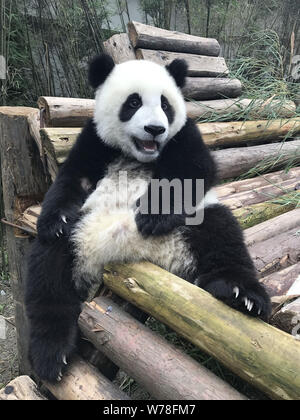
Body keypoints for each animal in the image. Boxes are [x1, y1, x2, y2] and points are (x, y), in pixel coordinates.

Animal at [24, 55, 270, 384]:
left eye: (166, 104)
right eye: (133, 102)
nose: (155, 129)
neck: (138, 156)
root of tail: (130, 251)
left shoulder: (184, 135)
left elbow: (193, 170)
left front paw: (153, 216)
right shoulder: (95, 141)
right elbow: (71, 179)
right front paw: (56, 220)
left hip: (194, 222)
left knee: (221, 232)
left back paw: (241, 294)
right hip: (80, 233)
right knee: (47, 272)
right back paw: (51, 353)